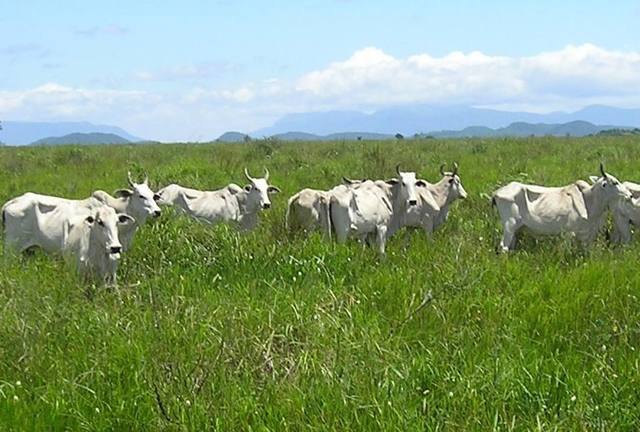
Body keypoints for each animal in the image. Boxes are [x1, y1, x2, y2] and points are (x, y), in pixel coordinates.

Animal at [492, 163, 632, 251]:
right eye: (614, 182)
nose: (630, 195)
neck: (588, 200)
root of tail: (497, 192)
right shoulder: (569, 233)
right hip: (509, 225)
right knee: (503, 247)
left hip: (515, 229)